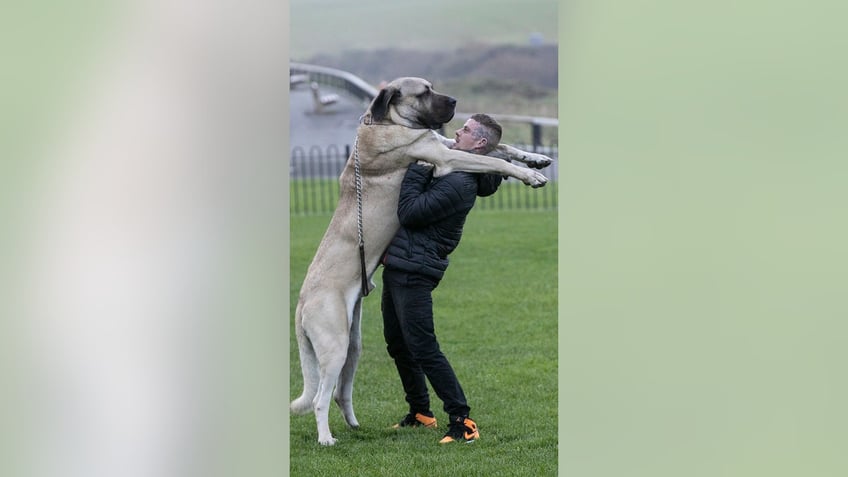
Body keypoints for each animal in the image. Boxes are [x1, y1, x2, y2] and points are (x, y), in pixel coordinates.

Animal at [292, 76, 552, 444]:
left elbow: (502, 147)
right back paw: (326, 438)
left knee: (342, 392)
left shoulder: (447, 145)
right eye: (424, 92)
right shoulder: (444, 156)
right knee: (319, 398)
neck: (388, 121)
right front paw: (530, 175)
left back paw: (355, 425)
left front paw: (537, 158)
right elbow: (495, 160)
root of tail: (301, 303)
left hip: (352, 345)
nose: (455, 100)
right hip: (334, 345)